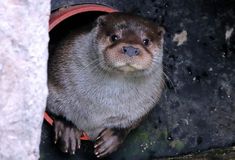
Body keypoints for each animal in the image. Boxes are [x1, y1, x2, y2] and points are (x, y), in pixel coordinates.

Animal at [46, 12, 164, 158]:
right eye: (114, 37)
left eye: (146, 41)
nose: (131, 49)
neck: (102, 105)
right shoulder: (55, 84)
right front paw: (67, 129)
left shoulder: (144, 106)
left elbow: (129, 125)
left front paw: (111, 139)